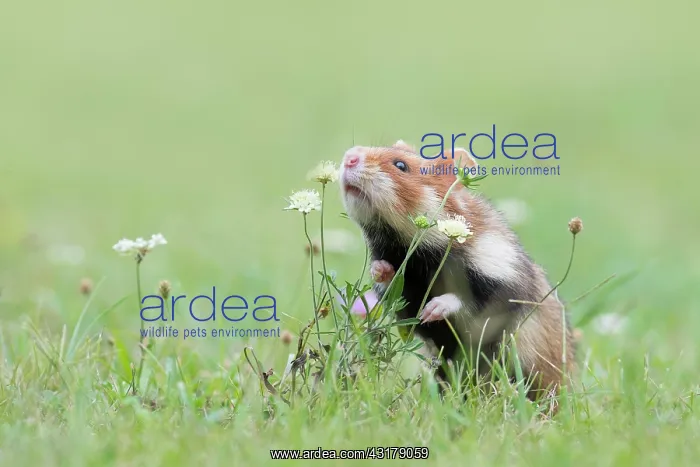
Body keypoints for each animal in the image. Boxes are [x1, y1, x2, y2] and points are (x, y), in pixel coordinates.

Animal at [339, 140, 575, 402]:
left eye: (400, 165)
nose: (349, 157)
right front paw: (380, 270)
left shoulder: (506, 289)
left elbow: (467, 301)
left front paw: (434, 308)